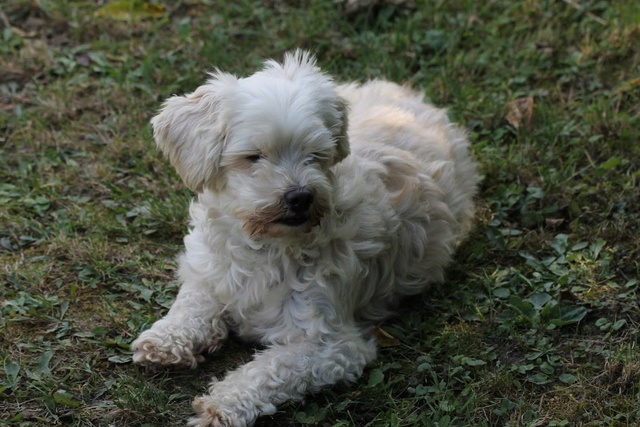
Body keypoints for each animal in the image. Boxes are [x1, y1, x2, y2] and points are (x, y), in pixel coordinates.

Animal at [132, 51, 478, 427]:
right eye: (254, 156)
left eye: (315, 154)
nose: (300, 196)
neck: (260, 245)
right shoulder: (210, 270)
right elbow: (191, 303)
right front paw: (165, 339)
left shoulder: (332, 346)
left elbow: (271, 369)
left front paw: (223, 403)